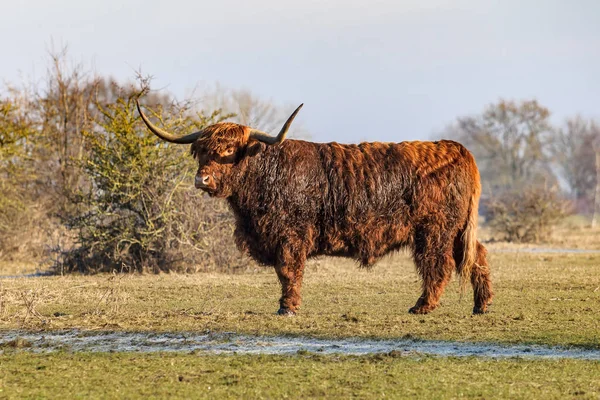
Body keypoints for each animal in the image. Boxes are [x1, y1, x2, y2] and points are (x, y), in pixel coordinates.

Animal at [136, 99, 492, 316]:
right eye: (202, 151)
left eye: (228, 151)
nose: (202, 179)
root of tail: (455, 148)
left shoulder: (290, 235)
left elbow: (288, 270)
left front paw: (288, 307)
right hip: (457, 230)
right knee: (477, 255)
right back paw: (482, 305)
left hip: (435, 230)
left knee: (439, 264)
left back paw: (423, 306)